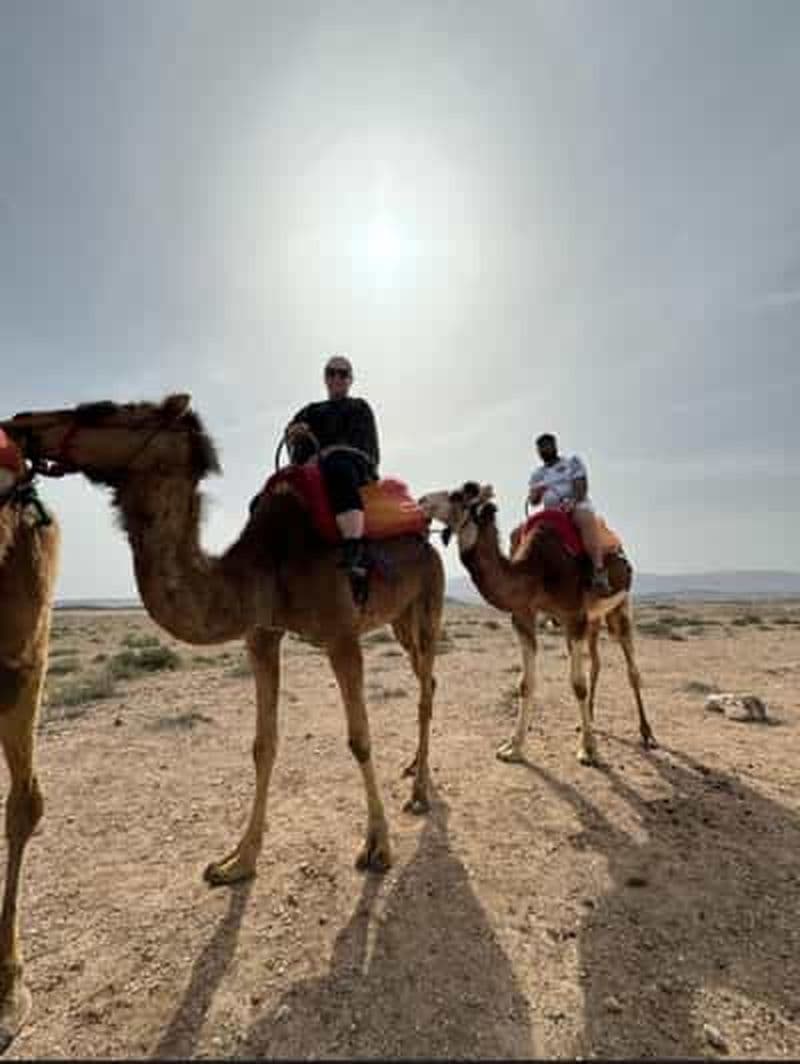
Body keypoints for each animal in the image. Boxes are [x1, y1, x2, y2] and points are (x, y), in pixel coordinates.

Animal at [1, 394, 444, 890]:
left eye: (101, 409)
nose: (18, 424)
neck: (266, 564)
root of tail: (422, 530)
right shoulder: (261, 635)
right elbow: (263, 745)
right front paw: (238, 862)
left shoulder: (341, 635)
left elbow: (359, 740)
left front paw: (378, 846)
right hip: (401, 620)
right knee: (427, 680)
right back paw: (414, 768)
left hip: (429, 598)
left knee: (425, 689)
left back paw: (420, 792)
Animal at [418, 482, 656, 766]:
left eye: (457, 495)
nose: (421, 501)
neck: (536, 571)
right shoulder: (523, 616)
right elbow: (526, 683)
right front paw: (513, 747)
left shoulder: (574, 615)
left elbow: (578, 685)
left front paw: (587, 749)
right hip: (593, 619)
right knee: (596, 663)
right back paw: (589, 720)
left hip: (619, 607)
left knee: (631, 667)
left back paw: (646, 733)